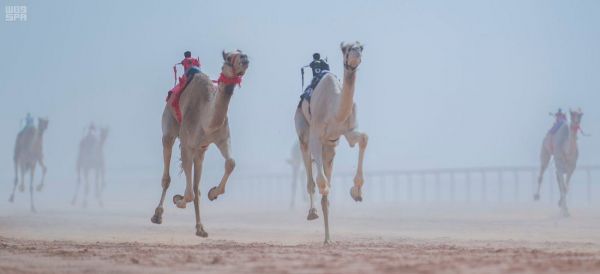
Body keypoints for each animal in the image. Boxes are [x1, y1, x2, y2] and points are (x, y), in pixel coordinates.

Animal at [152, 49, 251, 238]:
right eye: (229, 57)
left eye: (241, 52)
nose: (245, 59)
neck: (207, 121)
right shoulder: (186, 144)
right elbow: (189, 193)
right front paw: (179, 200)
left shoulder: (221, 138)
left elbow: (231, 163)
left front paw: (213, 193)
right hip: (169, 129)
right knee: (167, 176)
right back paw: (157, 215)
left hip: (200, 151)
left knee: (196, 186)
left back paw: (200, 228)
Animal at [294, 41, 368, 244]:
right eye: (346, 49)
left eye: (361, 47)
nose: (356, 55)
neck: (334, 110)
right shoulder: (315, 136)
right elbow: (321, 182)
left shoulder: (347, 132)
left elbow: (363, 138)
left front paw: (356, 191)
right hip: (302, 131)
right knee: (311, 178)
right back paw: (312, 213)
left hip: (331, 147)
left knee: (325, 187)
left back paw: (328, 238)